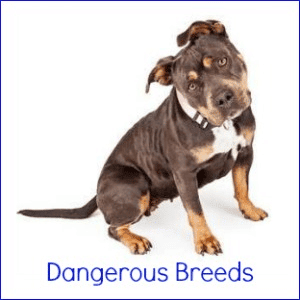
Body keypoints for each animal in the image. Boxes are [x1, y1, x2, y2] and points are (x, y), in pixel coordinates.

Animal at [18, 20, 268, 255]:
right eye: (192, 86)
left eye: (222, 61)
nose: (223, 98)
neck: (219, 125)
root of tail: (98, 191)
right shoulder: (185, 174)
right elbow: (196, 210)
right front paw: (205, 240)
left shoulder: (246, 152)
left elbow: (242, 187)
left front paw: (250, 210)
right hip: (134, 183)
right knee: (113, 227)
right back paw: (136, 240)